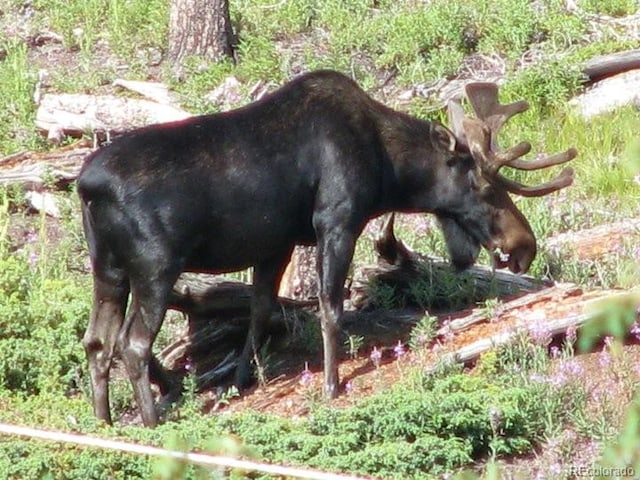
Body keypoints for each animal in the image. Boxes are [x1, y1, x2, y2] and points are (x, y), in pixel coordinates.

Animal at [77, 69, 576, 426]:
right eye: (485, 187)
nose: (524, 245)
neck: (389, 171)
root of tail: (86, 185)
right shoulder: (336, 221)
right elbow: (330, 309)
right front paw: (332, 385)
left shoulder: (274, 244)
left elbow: (260, 312)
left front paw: (242, 381)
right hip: (155, 267)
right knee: (132, 344)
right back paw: (151, 421)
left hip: (108, 269)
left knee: (97, 341)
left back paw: (104, 422)